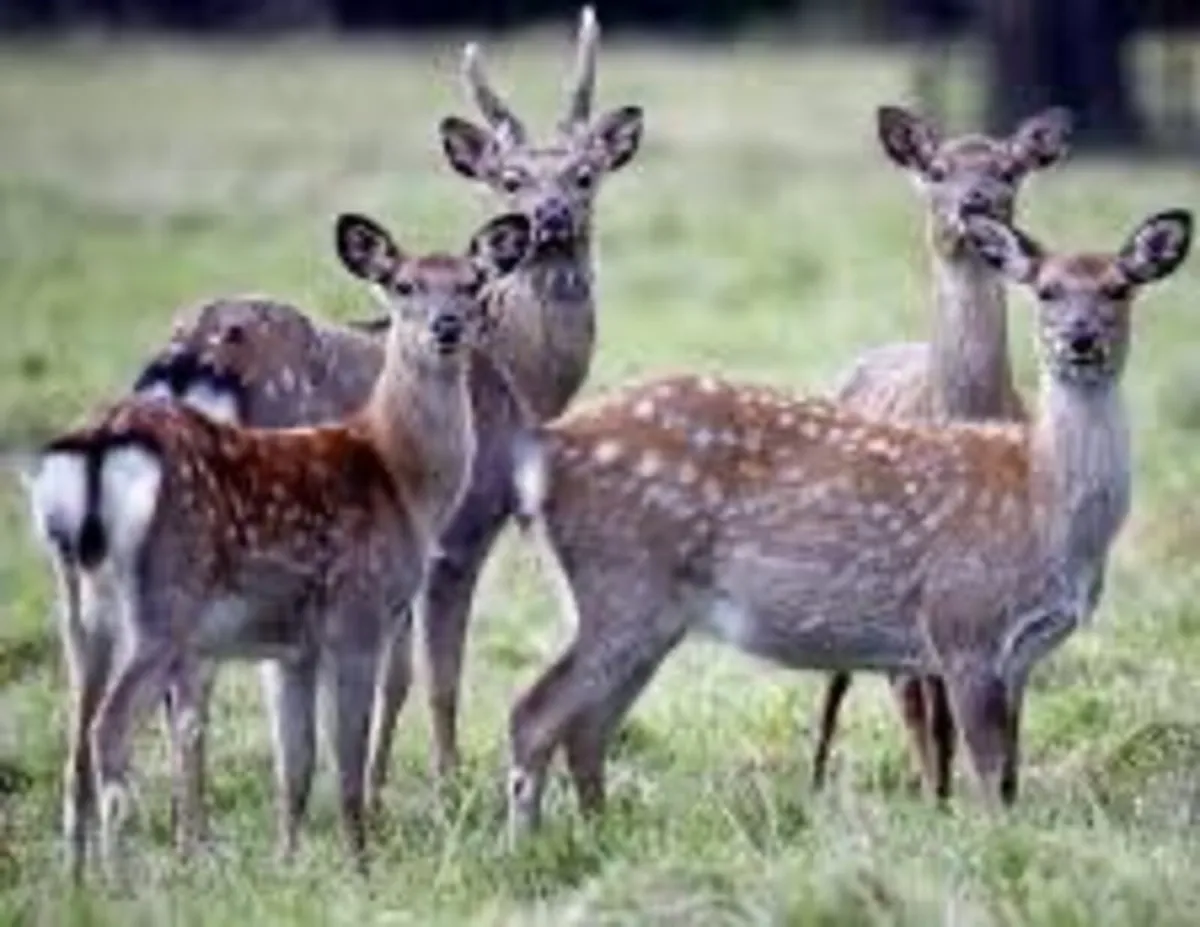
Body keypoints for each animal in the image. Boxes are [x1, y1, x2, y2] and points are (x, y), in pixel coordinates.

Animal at [24, 209, 534, 881]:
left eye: (473, 282)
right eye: (403, 285)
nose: (446, 326)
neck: (395, 473)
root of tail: (96, 450)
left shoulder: (292, 646)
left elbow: (295, 763)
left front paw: (288, 862)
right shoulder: (356, 612)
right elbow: (346, 757)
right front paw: (361, 865)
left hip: (78, 607)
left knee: (76, 738)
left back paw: (78, 878)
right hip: (165, 603)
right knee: (111, 728)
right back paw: (123, 879)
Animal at [505, 208, 1191, 837]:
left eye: (1120, 287)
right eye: (1046, 290)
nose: (1080, 338)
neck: (1043, 505)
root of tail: (546, 449)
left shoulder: (1021, 654)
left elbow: (1011, 774)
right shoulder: (962, 621)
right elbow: (990, 772)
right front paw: (995, 847)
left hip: (644, 612)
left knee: (589, 726)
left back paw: (600, 833)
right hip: (622, 583)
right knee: (535, 713)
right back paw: (528, 846)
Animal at [812, 104, 1073, 799]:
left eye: (1009, 169)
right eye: (935, 169)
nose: (975, 202)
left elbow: (1007, 719)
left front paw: (1003, 796)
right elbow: (939, 715)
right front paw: (942, 801)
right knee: (857, 687)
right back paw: (821, 782)